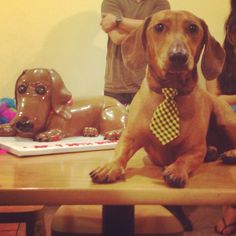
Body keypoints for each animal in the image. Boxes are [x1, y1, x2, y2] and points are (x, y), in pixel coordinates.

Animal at [90, 10, 236, 188]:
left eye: (193, 28)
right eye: (159, 27)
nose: (178, 56)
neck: (170, 90)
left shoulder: (195, 149)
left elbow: (184, 159)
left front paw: (176, 170)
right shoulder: (130, 137)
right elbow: (120, 152)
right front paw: (110, 167)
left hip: (226, 120)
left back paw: (228, 153)